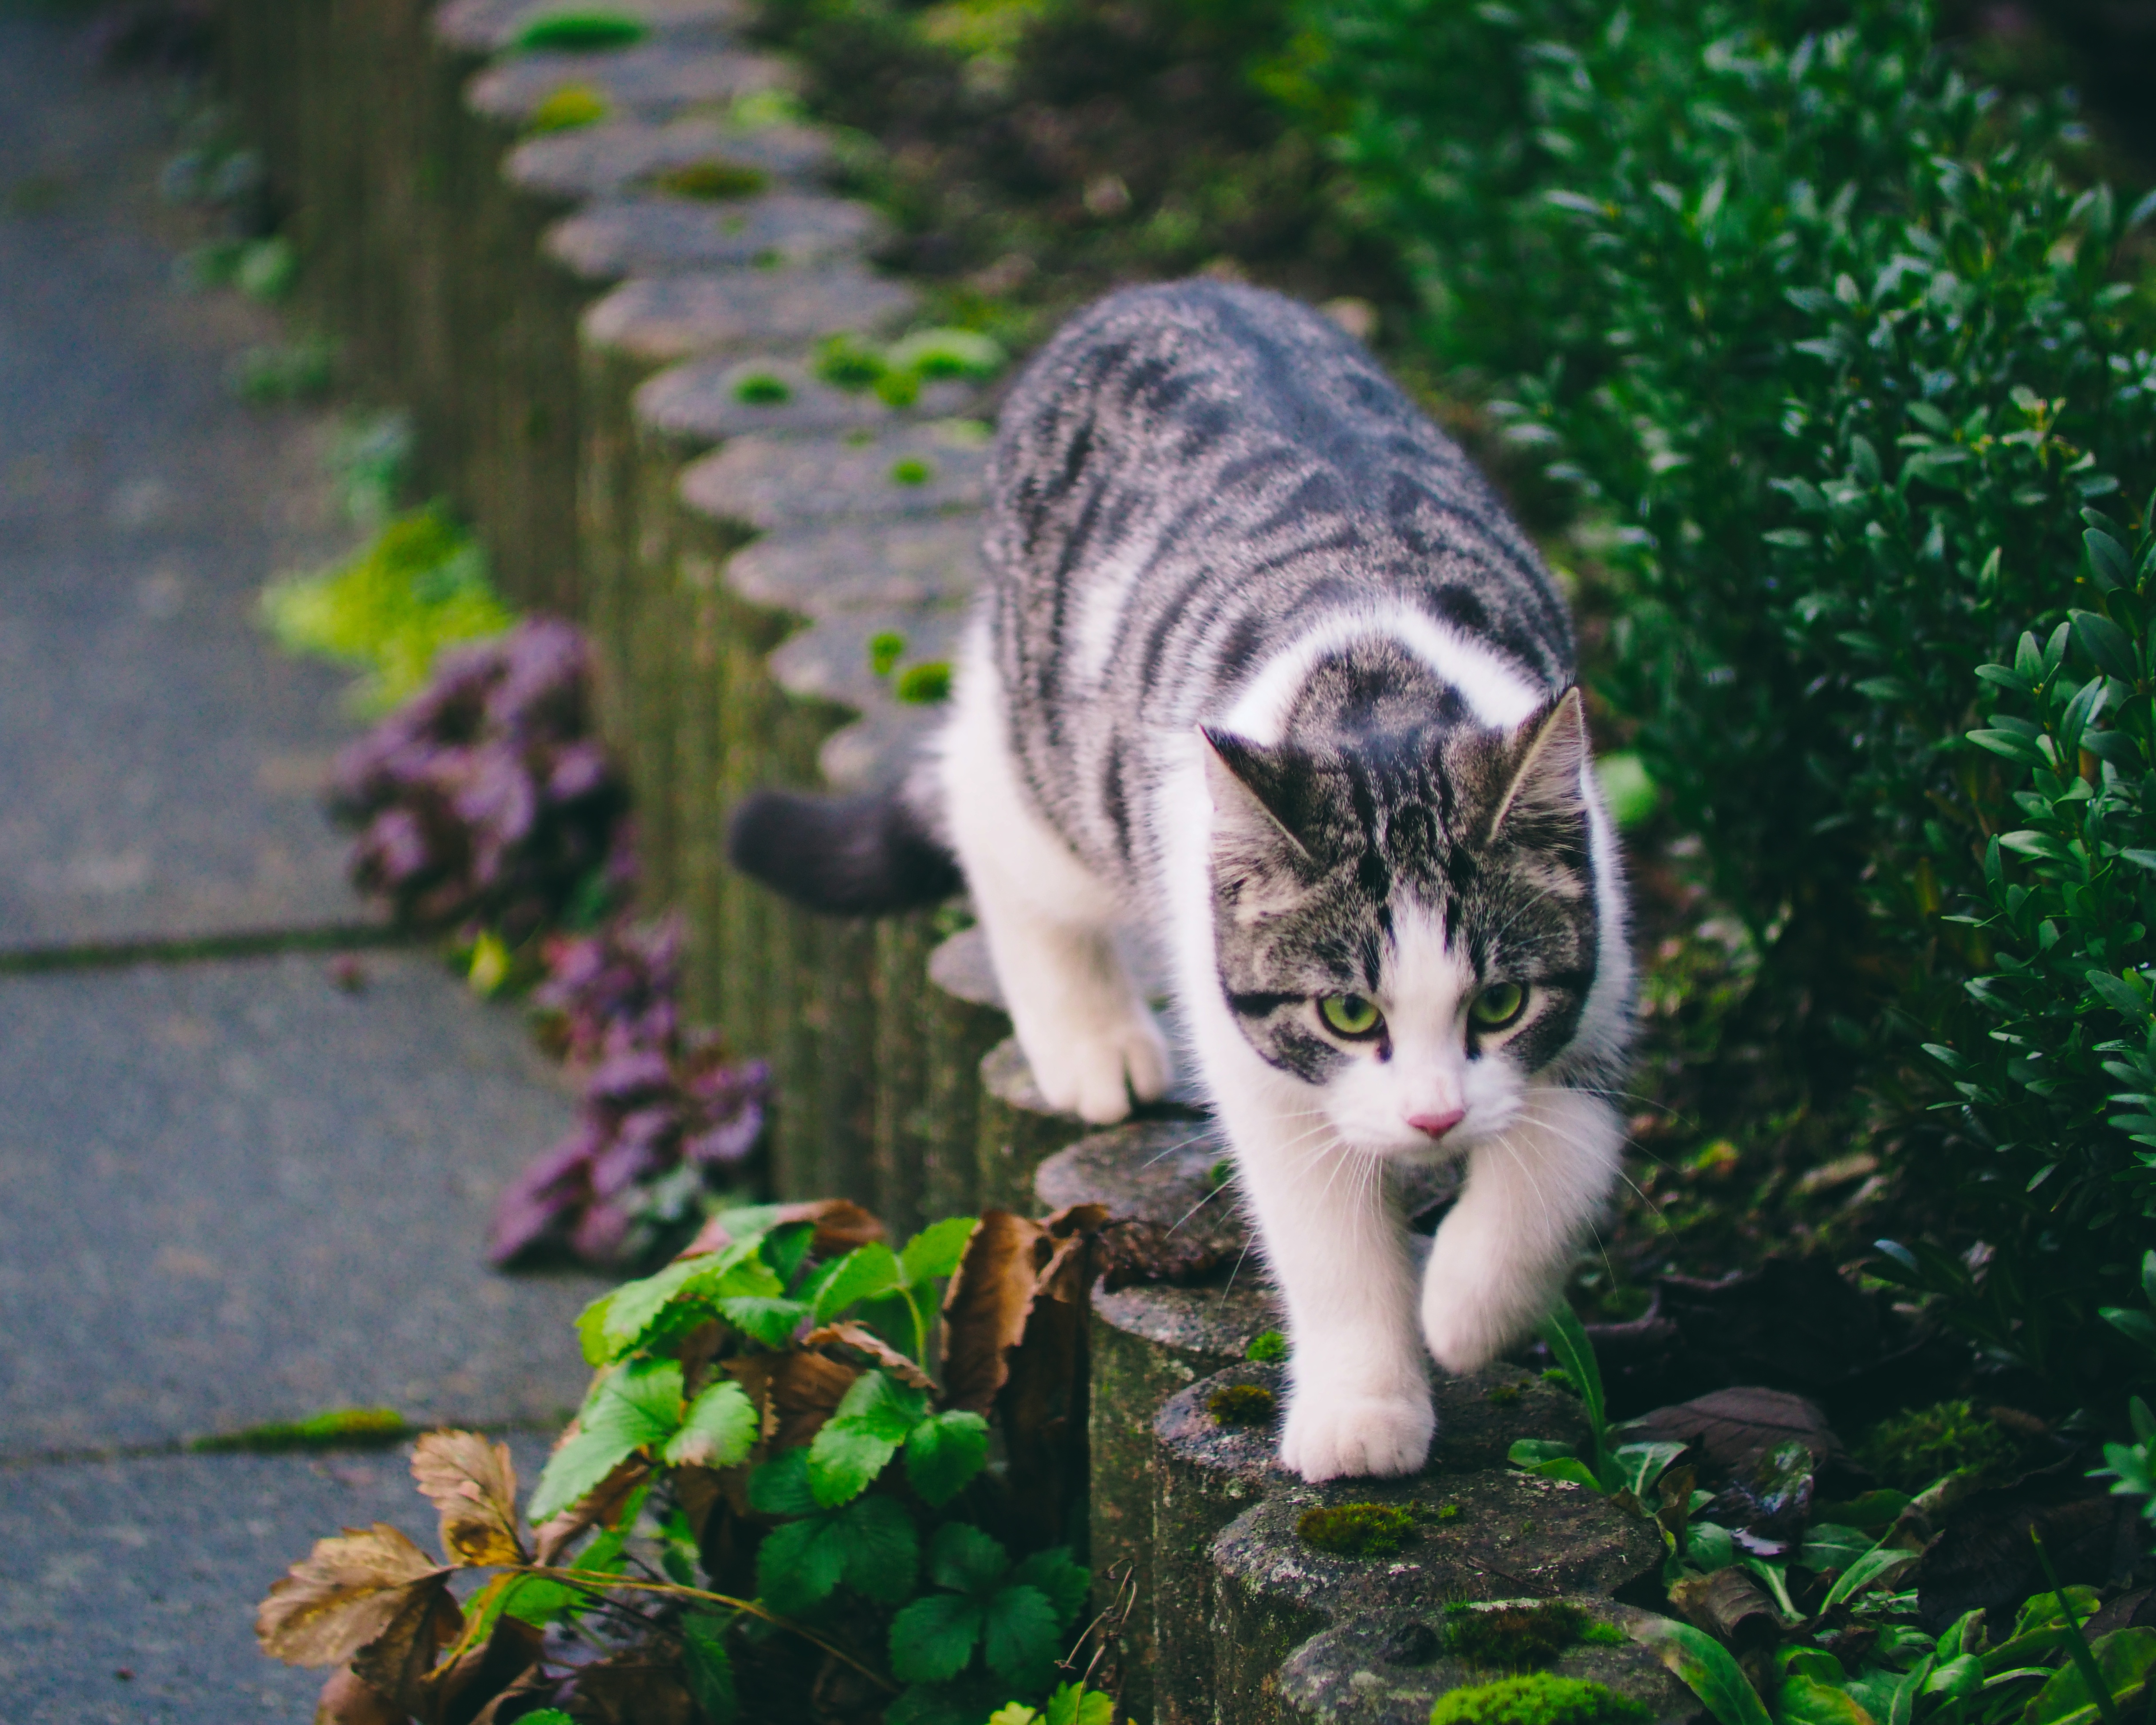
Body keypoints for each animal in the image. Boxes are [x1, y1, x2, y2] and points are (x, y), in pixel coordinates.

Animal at [737, 282, 1630, 1483]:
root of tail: (1152, 292)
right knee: (982, 802)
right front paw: (1366, 1407)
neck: (1379, 691)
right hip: (1063, 760)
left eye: (1497, 1001)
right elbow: (1324, 1232)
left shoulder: (1599, 976)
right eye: (1349, 1014)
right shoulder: (1257, 1055)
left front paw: (1467, 1305)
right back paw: (1088, 1040)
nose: (1435, 1119)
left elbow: (1565, 1147)